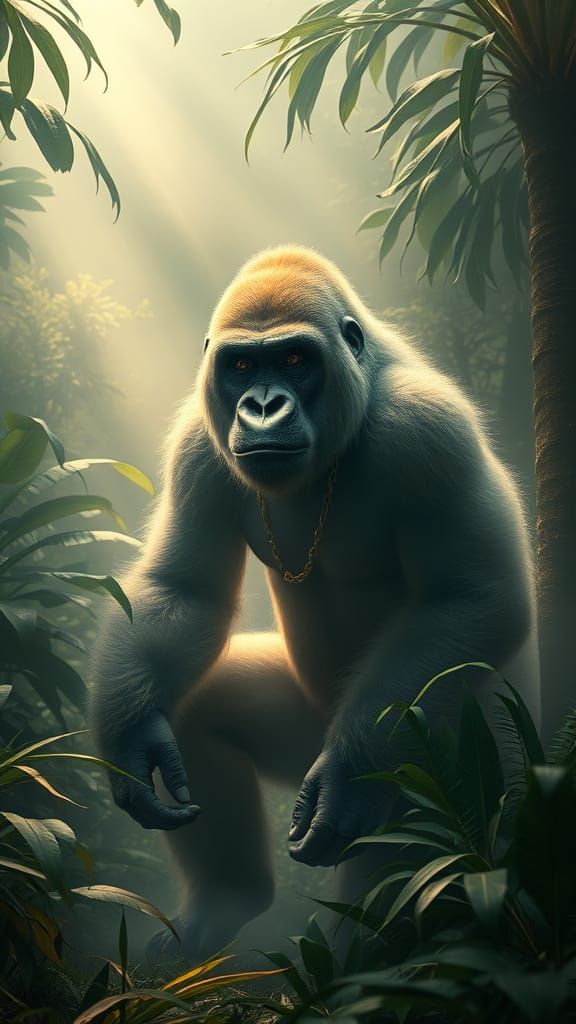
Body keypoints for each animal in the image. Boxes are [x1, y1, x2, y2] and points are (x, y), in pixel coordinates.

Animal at [90, 245, 539, 963]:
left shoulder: (429, 430)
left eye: (297, 360)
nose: (263, 406)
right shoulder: (198, 439)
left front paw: (350, 778)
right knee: (197, 705)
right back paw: (226, 900)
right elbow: (185, 591)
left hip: (490, 767)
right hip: (311, 733)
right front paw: (134, 741)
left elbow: (474, 596)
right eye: (242, 366)